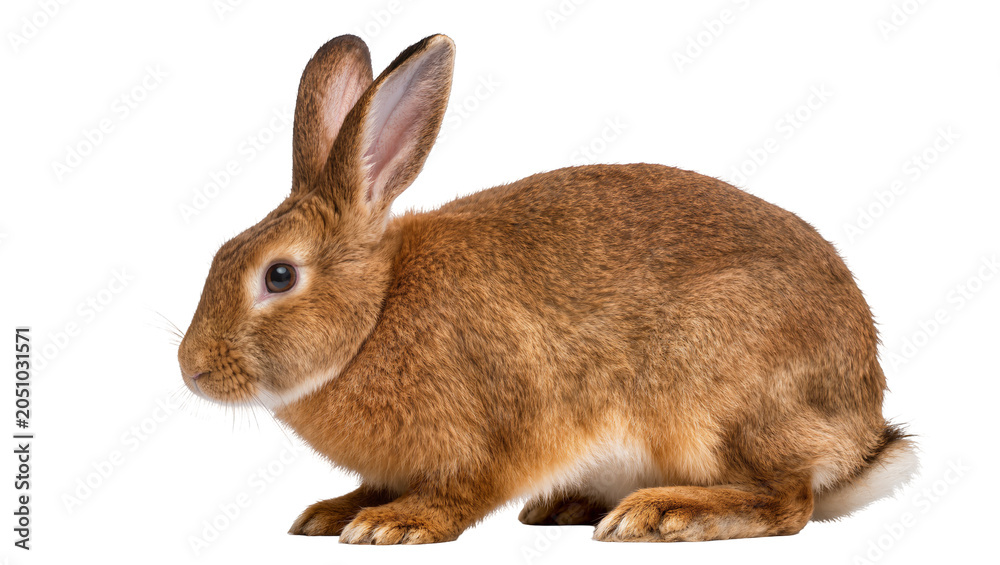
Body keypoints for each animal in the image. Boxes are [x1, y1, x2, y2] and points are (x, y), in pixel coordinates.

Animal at [177, 33, 918, 544]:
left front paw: (395, 523)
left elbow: (467, 489)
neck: (375, 313)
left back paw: (661, 514)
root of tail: (862, 430)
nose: (191, 368)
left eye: (278, 275)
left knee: (789, 501)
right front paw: (331, 513)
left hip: (715, 401)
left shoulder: (502, 423)